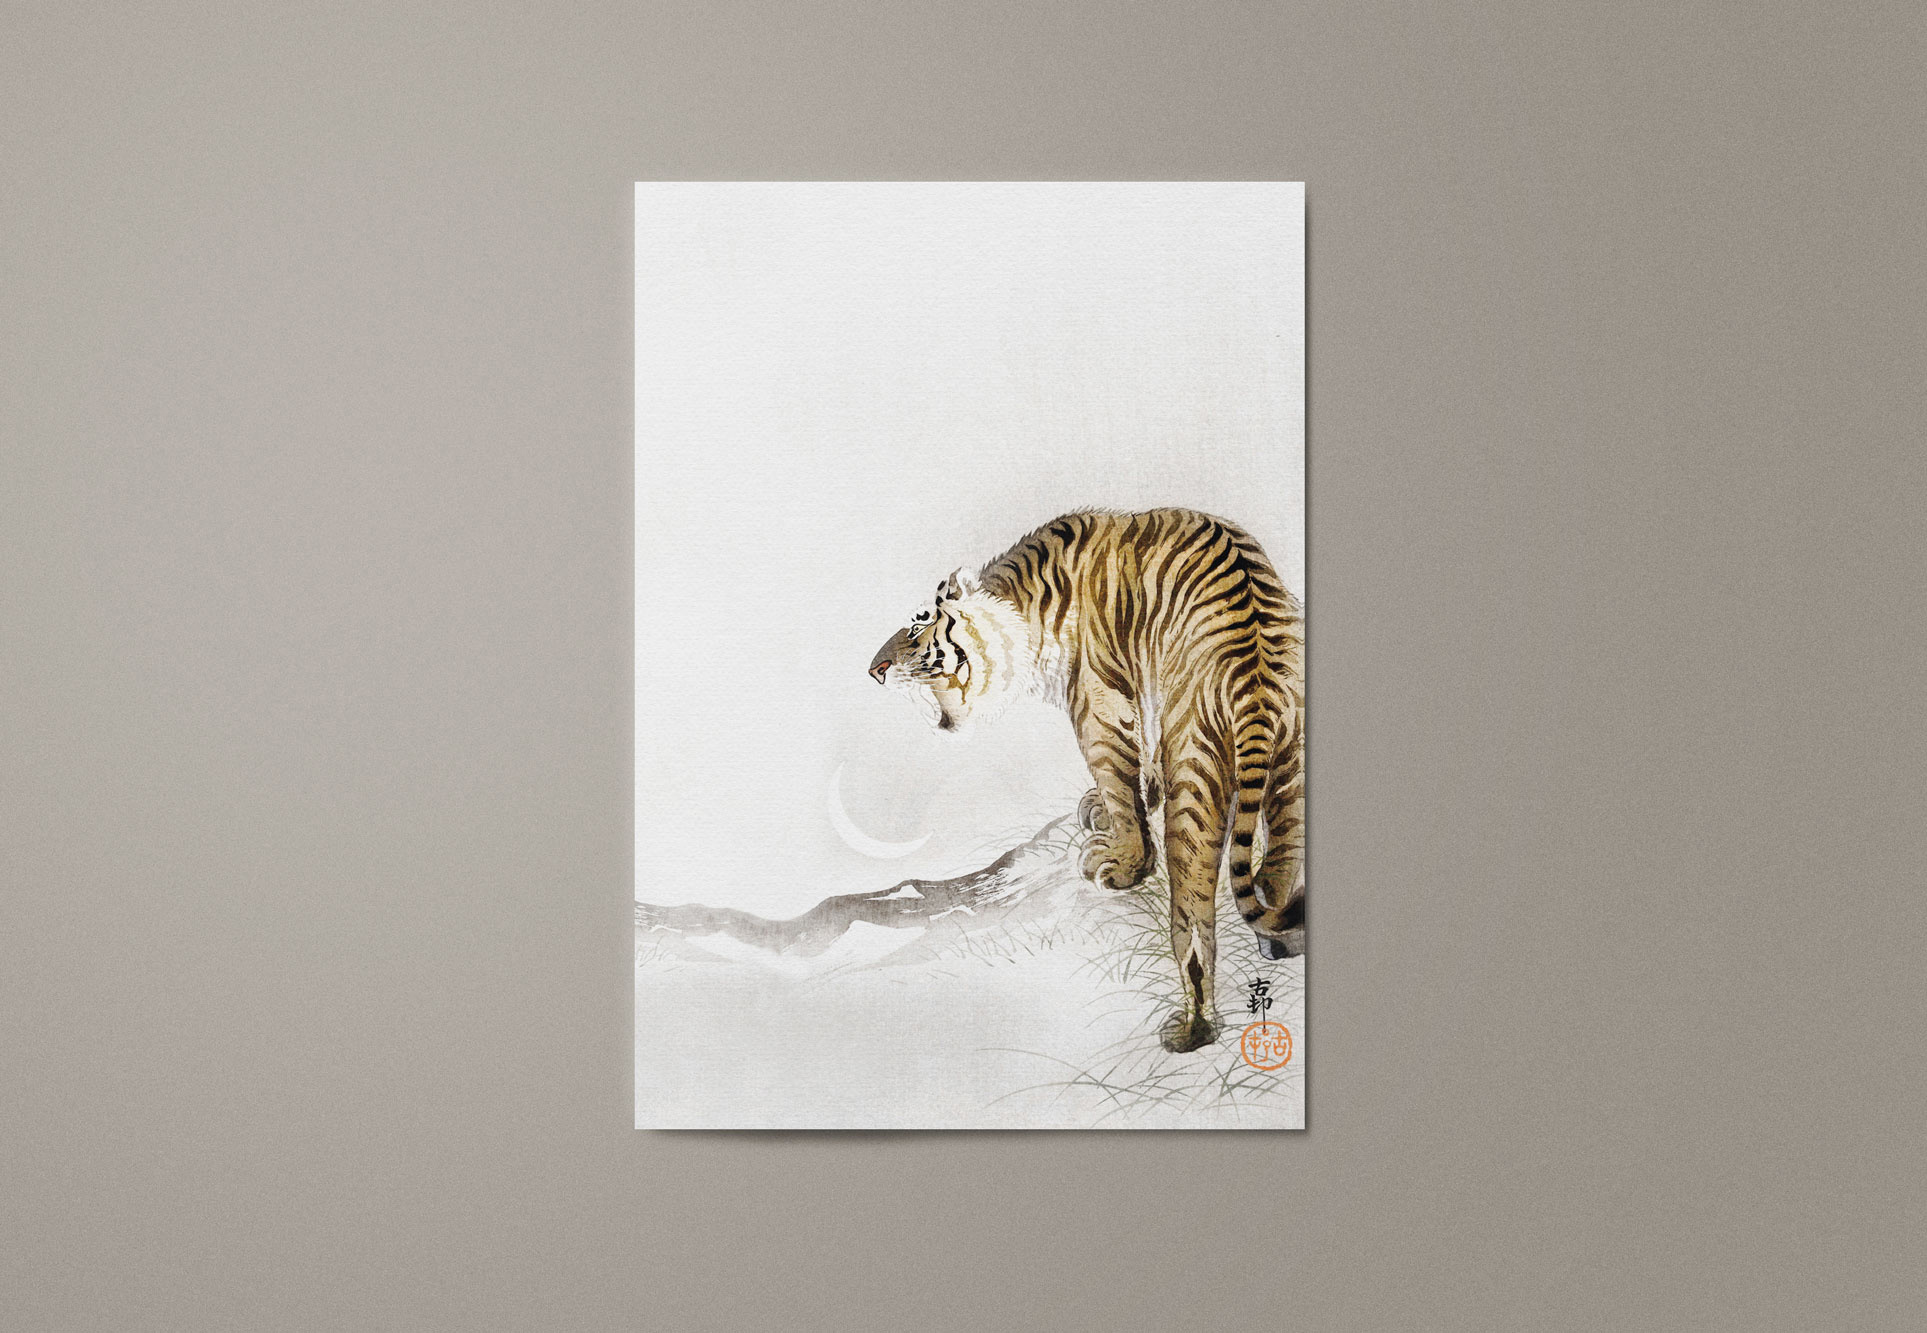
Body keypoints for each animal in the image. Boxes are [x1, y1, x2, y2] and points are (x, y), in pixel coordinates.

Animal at [867, 507, 1303, 1052]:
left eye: (919, 623)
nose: (874, 670)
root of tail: (1257, 679)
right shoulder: (1143, 689)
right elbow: (1141, 764)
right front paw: (1117, 804)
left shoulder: (1098, 704)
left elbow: (1118, 781)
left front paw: (1123, 863)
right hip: (1293, 771)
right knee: (1277, 868)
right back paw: (1280, 941)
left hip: (1196, 771)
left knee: (1194, 922)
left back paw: (1191, 1029)